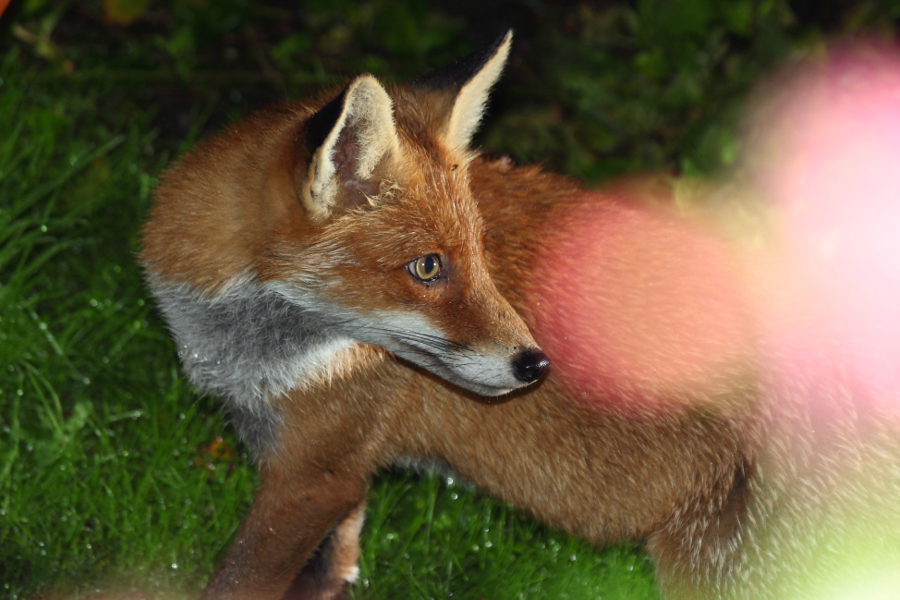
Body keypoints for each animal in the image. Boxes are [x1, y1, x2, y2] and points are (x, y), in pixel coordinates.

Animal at [141, 31, 900, 600]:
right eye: (428, 266)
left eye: (473, 253)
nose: (536, 363)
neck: (250, 343)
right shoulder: (333, 466)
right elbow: (334, 567)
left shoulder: (311, 473)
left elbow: (240, 580)